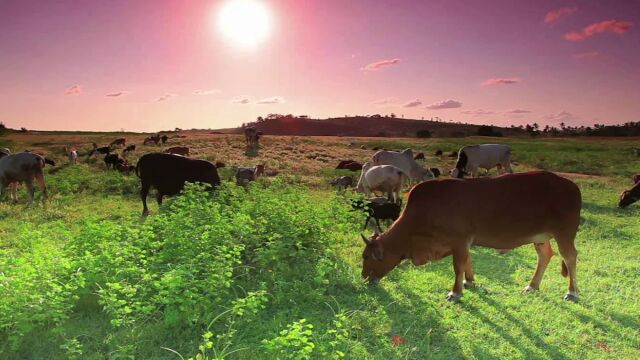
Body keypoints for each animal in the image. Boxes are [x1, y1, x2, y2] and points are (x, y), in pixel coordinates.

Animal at [362, 171, 584, 300]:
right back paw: (532, 285)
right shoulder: (464, 243)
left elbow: (458, 266)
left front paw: (455, 292)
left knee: (570, 257)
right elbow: (467, 263)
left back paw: (572, 291)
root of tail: (572, 186)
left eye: (366, 257)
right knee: (545, 256)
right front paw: (468, 282)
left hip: (564, 233)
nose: (364, 277)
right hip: (540, 237)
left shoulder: (460, 240)